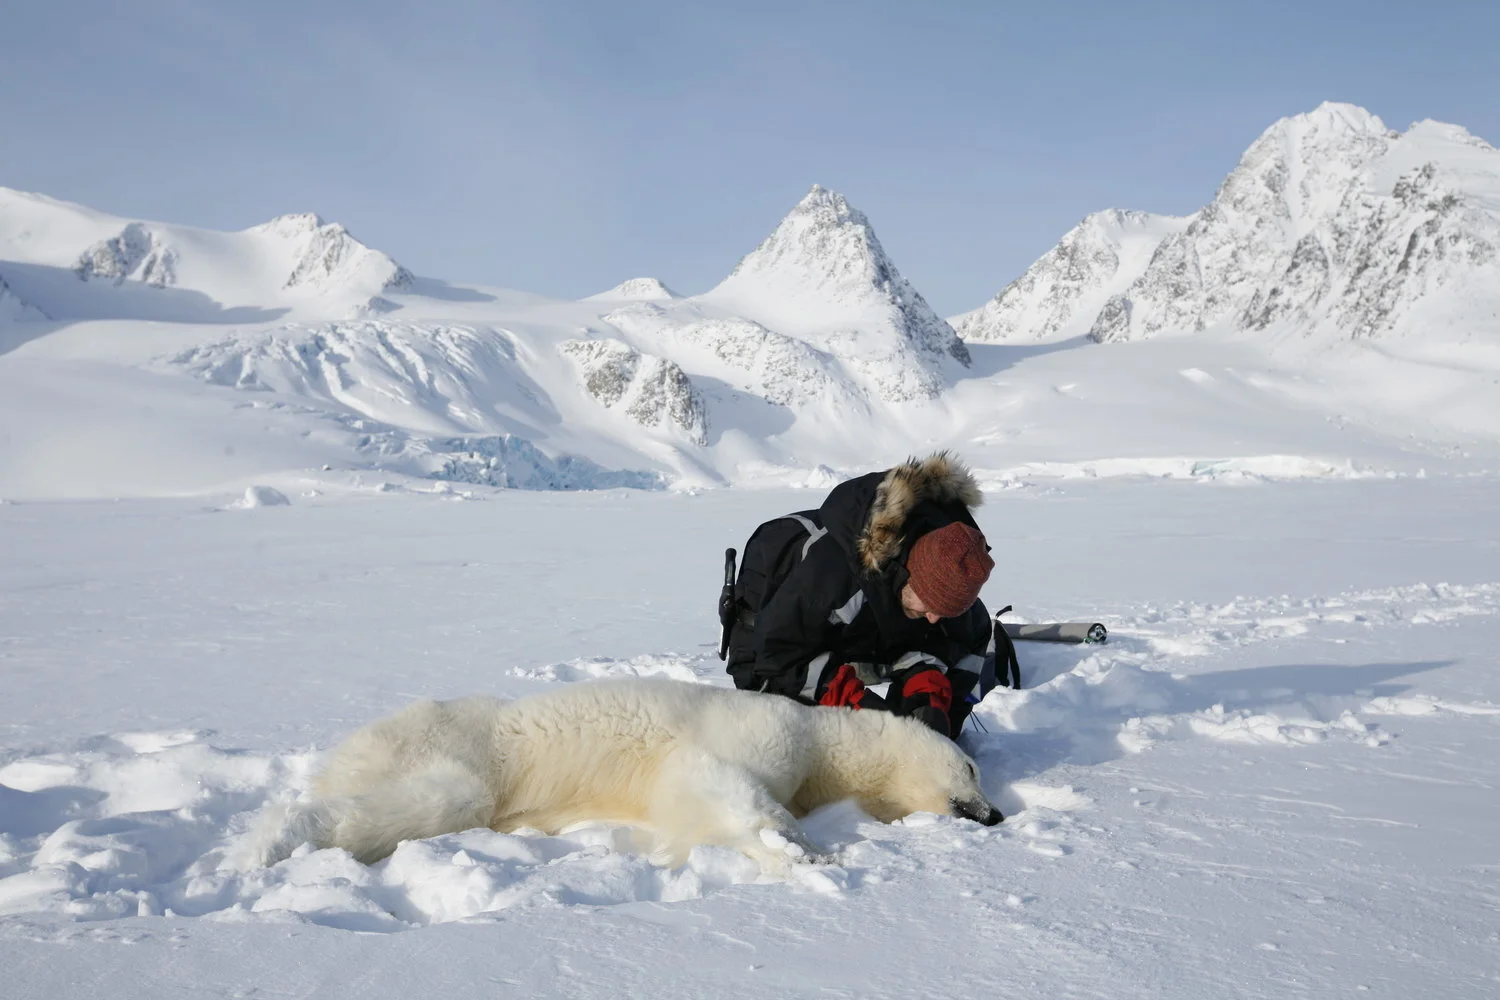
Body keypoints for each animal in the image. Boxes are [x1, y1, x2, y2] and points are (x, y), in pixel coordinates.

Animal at [252, 677, 1002, 872]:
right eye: (970, 767)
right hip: (450, 742)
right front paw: (803, 848)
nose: (995, 813)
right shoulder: (764, 732)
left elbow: (687, 806)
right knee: (443, 795)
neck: (822, 741)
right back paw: (273, 839)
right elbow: (715, 777)